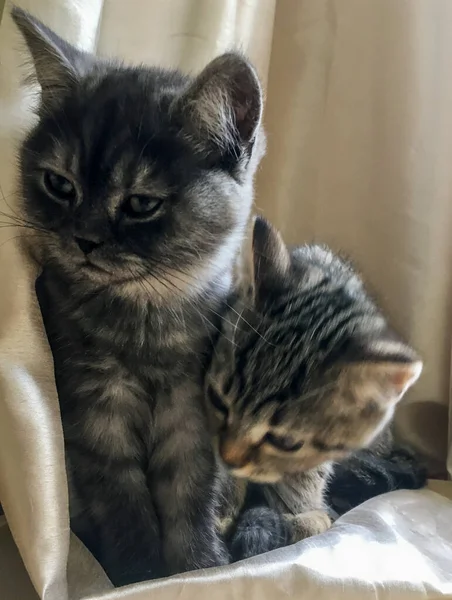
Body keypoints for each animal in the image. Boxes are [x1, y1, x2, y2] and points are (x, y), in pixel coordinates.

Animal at [11, 5, 264, 584]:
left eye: (141, 204)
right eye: (60, 185)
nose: (83, 238)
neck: (148, 318)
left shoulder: (194, 413)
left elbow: (190, 497)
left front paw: (200, 571)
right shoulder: (96, 414)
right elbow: (124, 505)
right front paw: (142, 576)